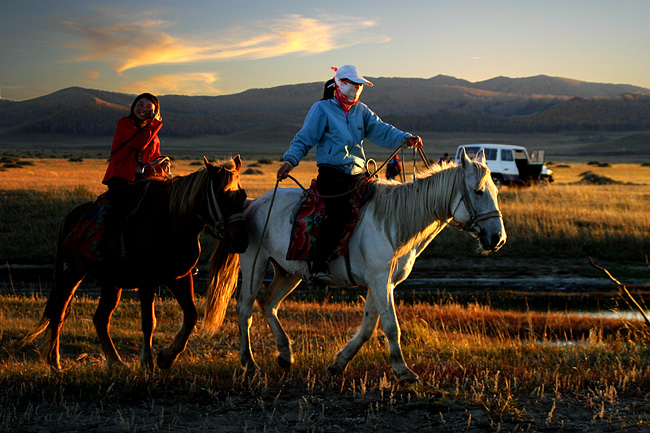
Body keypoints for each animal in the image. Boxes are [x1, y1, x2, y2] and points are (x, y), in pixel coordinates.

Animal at [21, 157, 247, 370]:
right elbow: (149, 322)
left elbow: (191, 315)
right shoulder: (147, 281)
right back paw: (55, 362)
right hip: (70, 273)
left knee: (100, 319)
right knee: (58, 314)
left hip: (110, 283)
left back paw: (116, 362)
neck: (171, 221)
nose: (240, 240)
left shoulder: (180, 277)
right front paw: (147, 362)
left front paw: (167, 357)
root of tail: (70, 217)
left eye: (243, 196)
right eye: (222, 196)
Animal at [205, 148, 504, 382]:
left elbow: (370, 325)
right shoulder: (380, 280)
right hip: (254, 264)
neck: (396, 222)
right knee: (245, 308)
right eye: (478, 191)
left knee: (268, 302)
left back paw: (285, 355)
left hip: (289, 272)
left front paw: (339, 363)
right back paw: (249, 363)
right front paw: (404, 372)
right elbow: (391, 325)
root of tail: (252, 204)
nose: (497, 239)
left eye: (496, 191)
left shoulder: (381, 282)